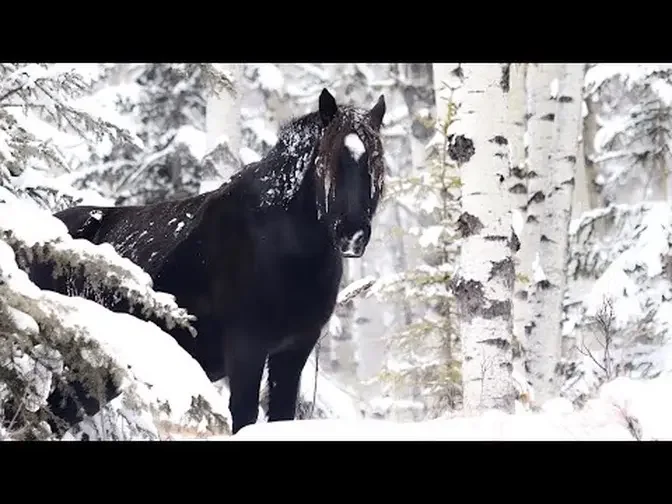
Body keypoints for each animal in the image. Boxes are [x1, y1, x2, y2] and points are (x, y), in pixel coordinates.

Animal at [36, 87, 388, 434]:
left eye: (376, 161)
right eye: (328, 161)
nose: (352, 233)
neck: (278, 246)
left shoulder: (293, 351)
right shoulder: (246, 349)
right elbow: (243, 418)